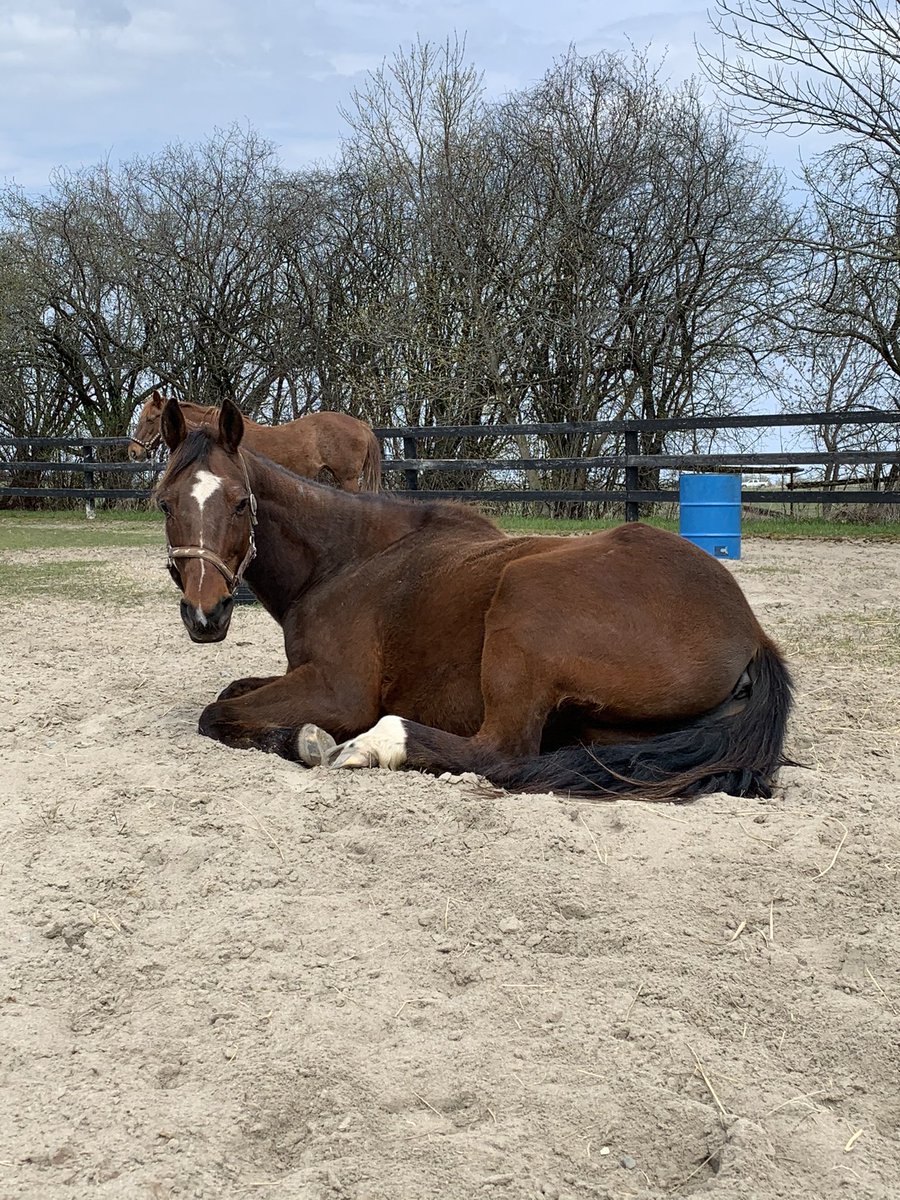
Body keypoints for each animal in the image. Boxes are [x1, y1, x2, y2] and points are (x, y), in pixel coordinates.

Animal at [152, 396, 794, 802]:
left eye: (240, 502)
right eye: (164, 503)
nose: (206, 613)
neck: (344, 559)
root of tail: (751, 632)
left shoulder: (337, 691)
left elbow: (218, 714)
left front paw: (308, 741)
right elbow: (231, 693)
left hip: (524, 600)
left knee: (500, 752)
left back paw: (376, 745)